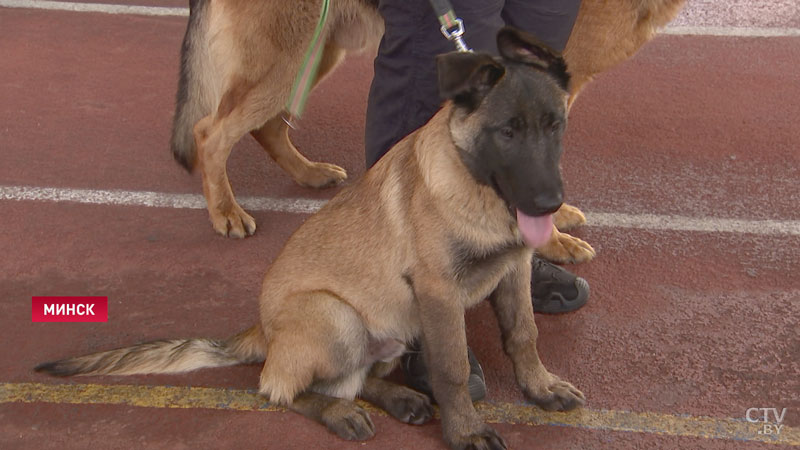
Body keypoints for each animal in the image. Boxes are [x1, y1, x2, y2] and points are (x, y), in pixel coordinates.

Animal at [37, 28, 584, 450]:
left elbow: (523, 335)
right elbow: (451, 369)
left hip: (397, 323)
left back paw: (399, 398)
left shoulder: (512, 271)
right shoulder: (439, 293)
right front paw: (467, 430)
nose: (550, 203)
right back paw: (341, 413)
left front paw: (540, 387)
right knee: (280, 389)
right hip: (338, 316)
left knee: (359, 380)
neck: (476, 186)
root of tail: (262, 331)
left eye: (556, 125)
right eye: (507, 132)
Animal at [172, 0, 684, 260]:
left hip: (318, 50)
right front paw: (551, 242)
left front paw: (553, 222)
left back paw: (309, 173)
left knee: (266, 127)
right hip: (286, 58)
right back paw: (226, 213)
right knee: (209, 132)